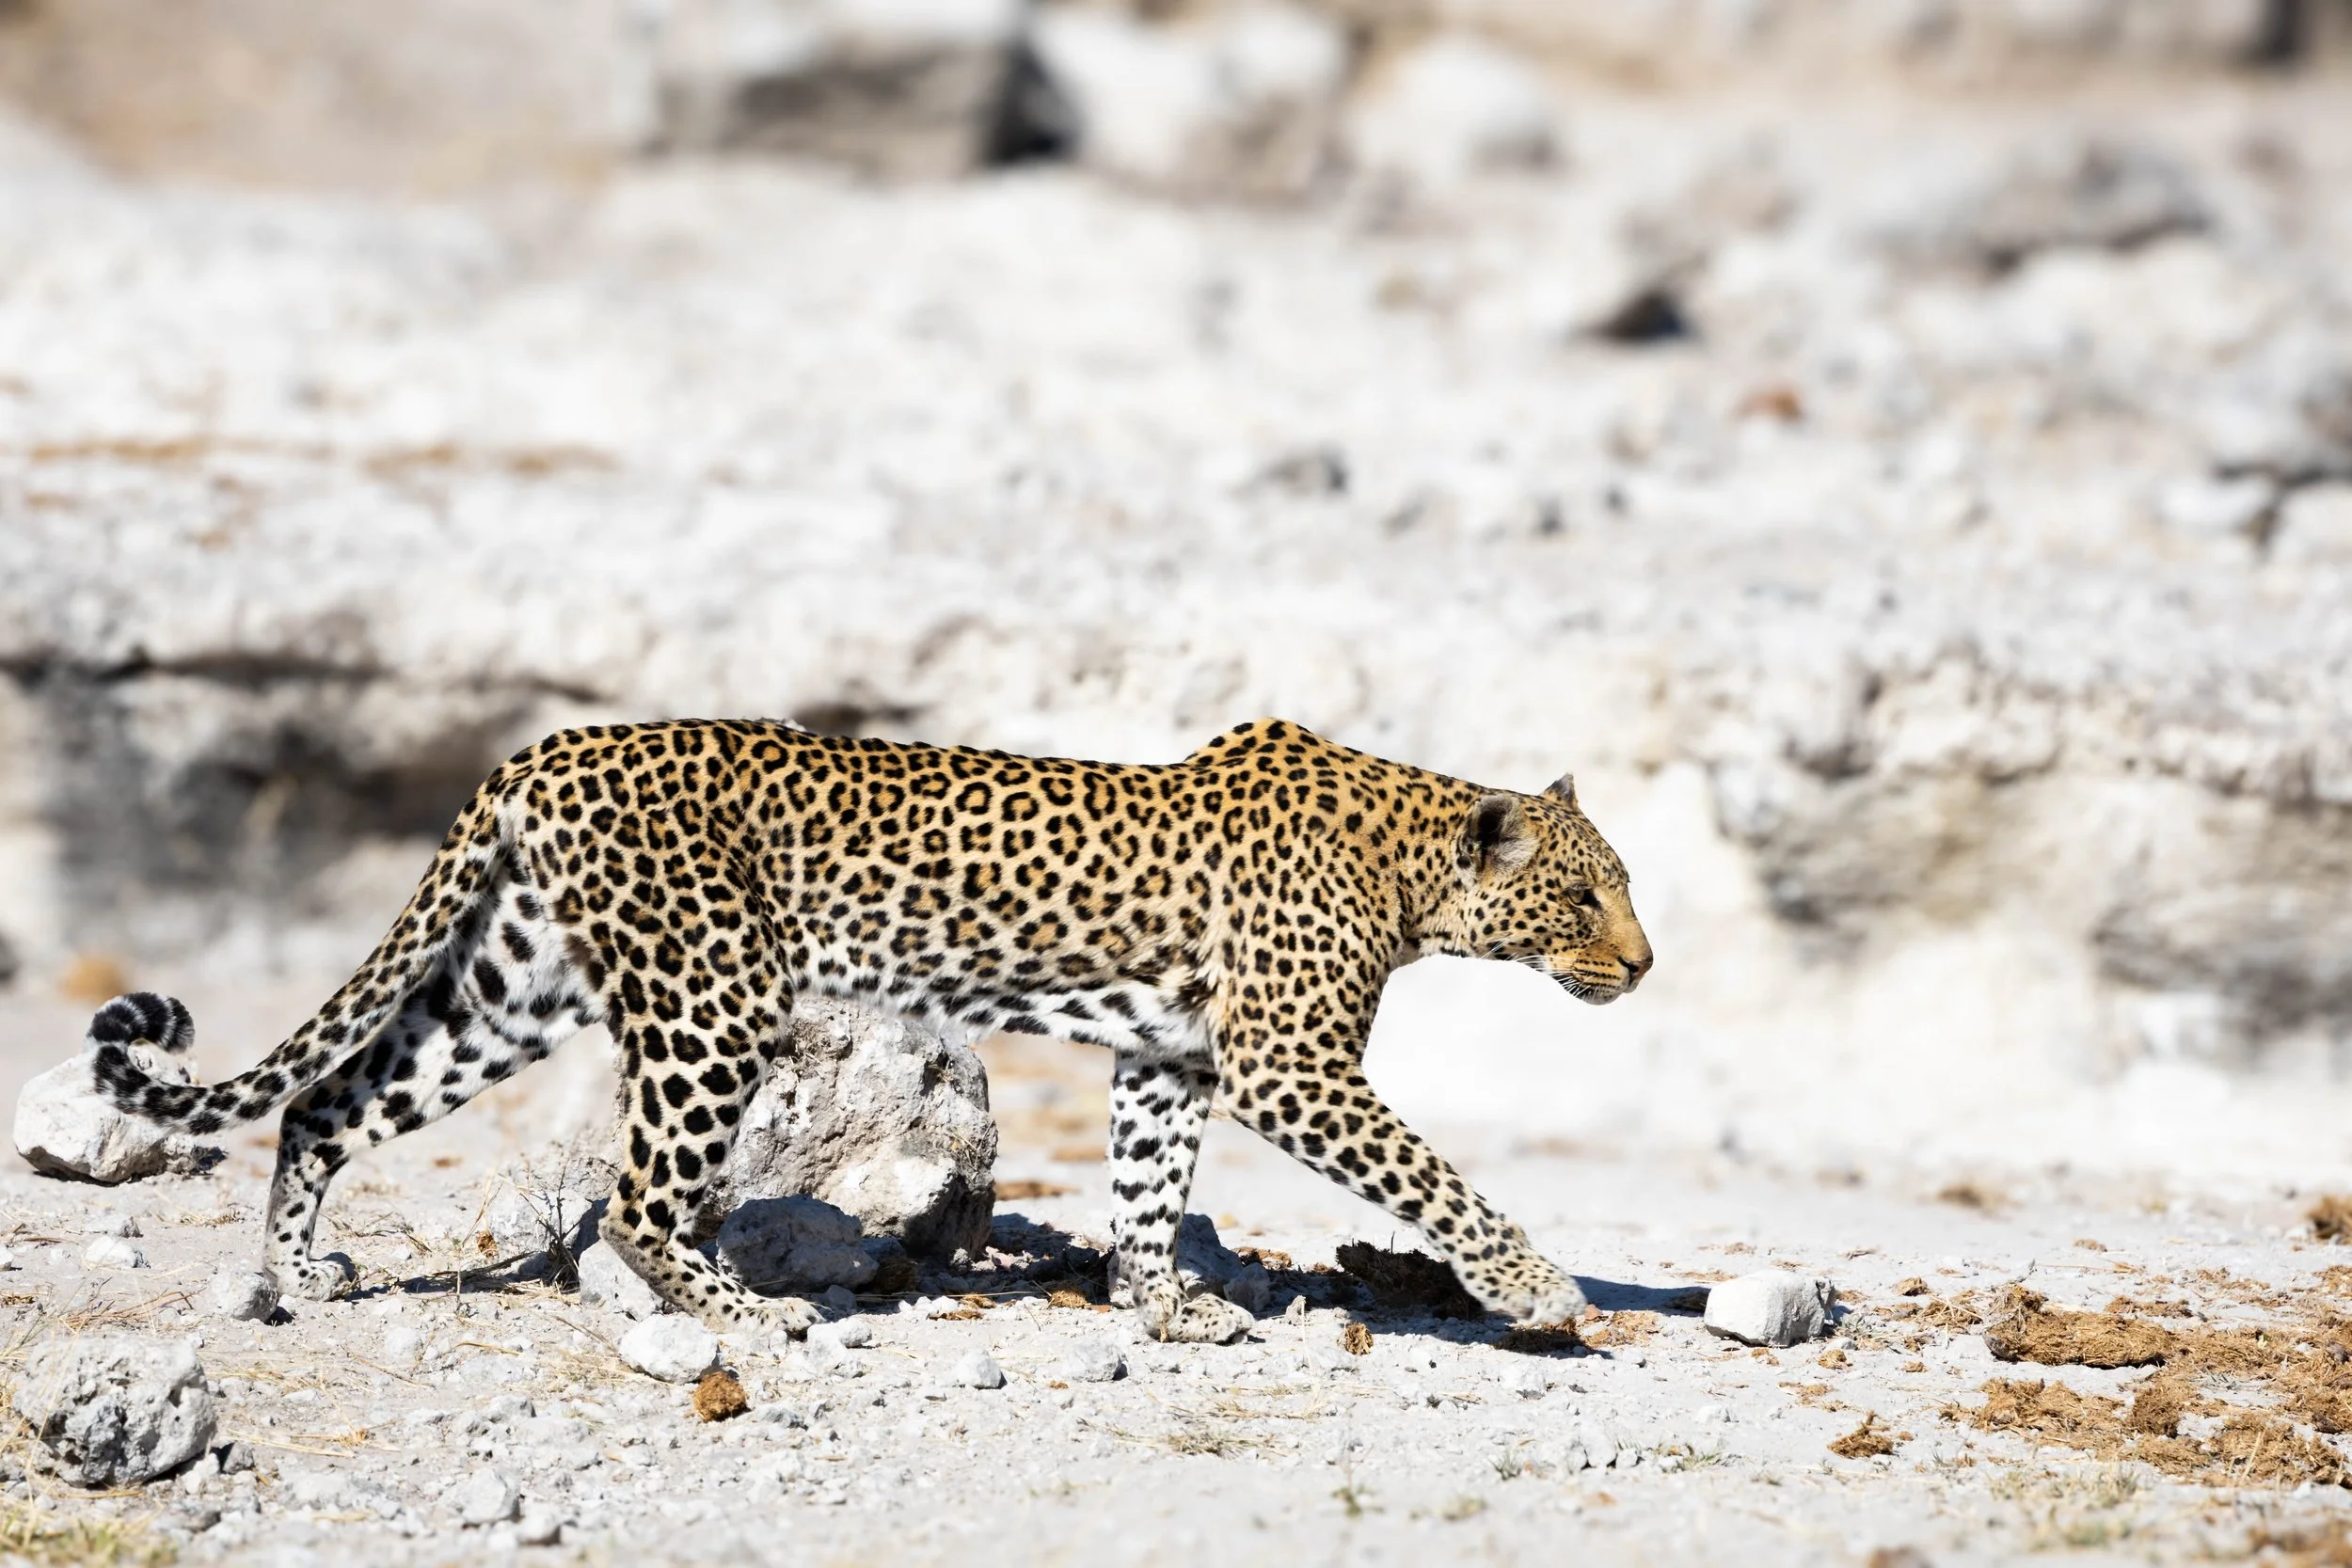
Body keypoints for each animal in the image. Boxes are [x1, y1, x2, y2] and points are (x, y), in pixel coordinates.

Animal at [89, 716, 1651, 1344]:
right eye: (1585, 892)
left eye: (1623, 883)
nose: (1643, 962)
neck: (1414, 869)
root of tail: (545, 747)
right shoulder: (1288, 1065)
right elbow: (1433, 1173)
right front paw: (1537, 1287)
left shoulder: (1172, 1055)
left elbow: (1149, 1191)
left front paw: (1163, 1304)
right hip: (712, 996)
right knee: (639, 1194)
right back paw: (745, 1310)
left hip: (507, 990)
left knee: (323, 1103)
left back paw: (297, 1273)